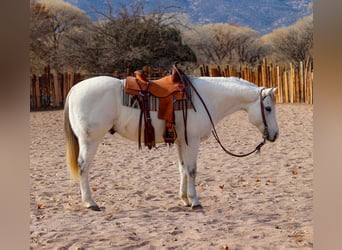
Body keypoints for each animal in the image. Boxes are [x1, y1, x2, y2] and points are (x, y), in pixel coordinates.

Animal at [63, 74, 278, 211]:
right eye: (268, 108)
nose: (275, 135)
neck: (205, 98)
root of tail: (74, 89)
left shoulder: (181, 141)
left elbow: (182, 169)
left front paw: (184, 199)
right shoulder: (192, 141)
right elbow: (192, 170)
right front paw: (195, 200)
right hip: (90, 140)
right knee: (83, 167)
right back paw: (90, 202)